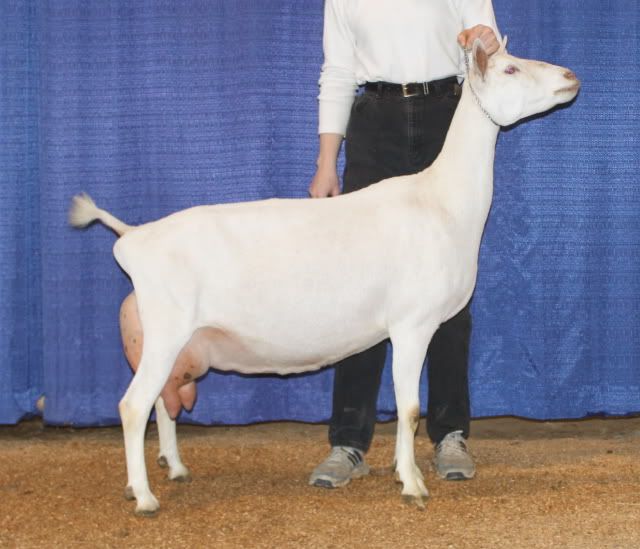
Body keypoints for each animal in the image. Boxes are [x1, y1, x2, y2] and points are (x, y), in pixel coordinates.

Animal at [69, 38, 579, 516]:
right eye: (510, 68)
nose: (571, 76)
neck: (440, 200)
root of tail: (133, 237)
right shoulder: (411, 323)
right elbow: (410, 408)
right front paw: (412, 485)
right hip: (165, 328)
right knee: (134, 405)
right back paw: (144, 496)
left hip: (170, 341)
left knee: (162, 400)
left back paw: (174, 468)